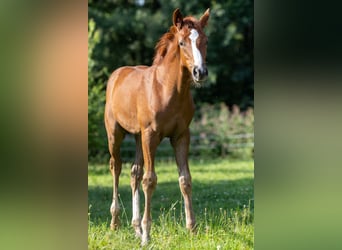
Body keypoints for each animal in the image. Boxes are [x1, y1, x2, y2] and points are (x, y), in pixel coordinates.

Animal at [104, 8, 210, 246]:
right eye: (181, 42)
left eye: (205, 41)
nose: (200, 72)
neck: (168, 89)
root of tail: (116, 75)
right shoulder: (151, 135)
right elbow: (150, 180)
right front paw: (147, 234)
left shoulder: (181, 136)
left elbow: (185, 180)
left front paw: (192, 229)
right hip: (115, 134)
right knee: (116, 168)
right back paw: (115, 223)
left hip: (137, 136)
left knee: (134, 172)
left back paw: (135, 228)